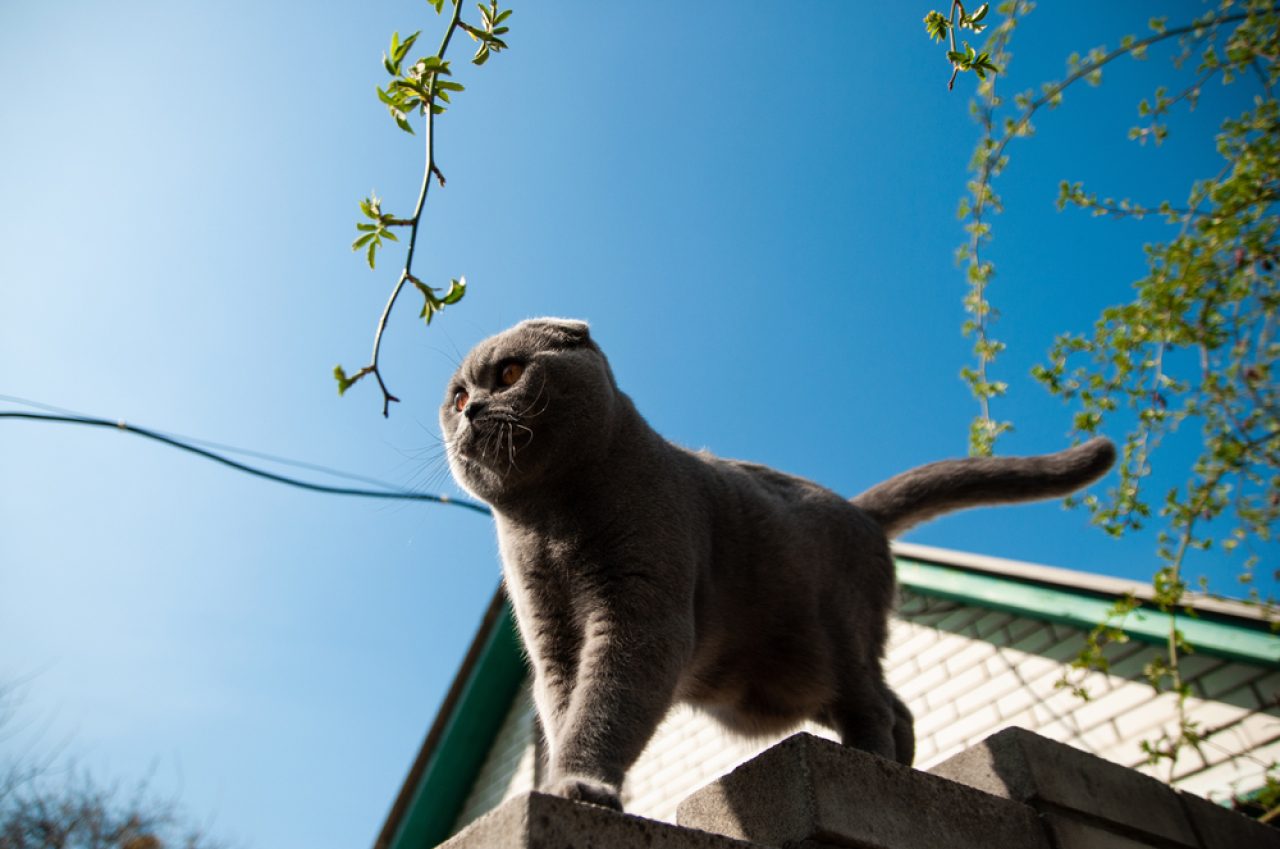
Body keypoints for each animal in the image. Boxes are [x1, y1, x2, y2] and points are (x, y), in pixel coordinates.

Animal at [440, 317, 1111, 809]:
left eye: (509, 372)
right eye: (457, 395)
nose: (470, 409)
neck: (550, 525)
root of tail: (860, 510)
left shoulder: (639, 613)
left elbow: (605, 704)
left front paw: (581, 784)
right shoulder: (551, 638)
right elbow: (563, 710)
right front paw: (567, 779)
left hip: (838, 637)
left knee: (874, 706)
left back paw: (875, 765)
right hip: (801, 671)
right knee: (896, 705)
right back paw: (905, 763)